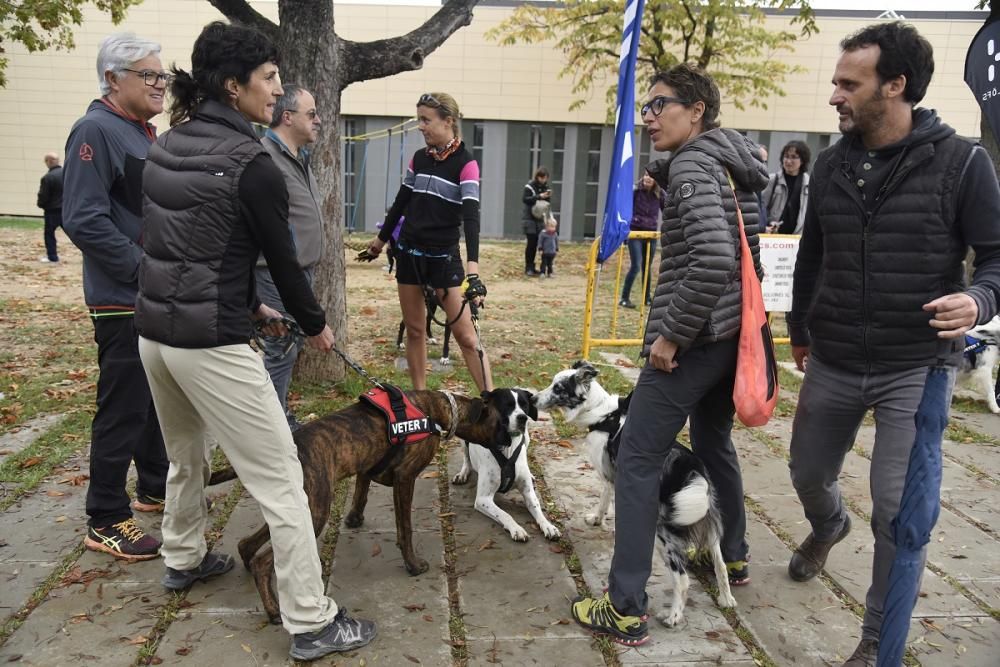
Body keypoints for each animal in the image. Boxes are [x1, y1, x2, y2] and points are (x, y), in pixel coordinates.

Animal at [208, 388, 500, 624]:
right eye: (499, 424)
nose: (506, 445)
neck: (436, 409)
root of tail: (293, 446)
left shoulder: (367, 466)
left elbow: (361, 494)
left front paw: (354, 519)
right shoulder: (405, 479)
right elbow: (405, 529)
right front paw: (413, 565)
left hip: (299, 503)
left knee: (250, 543)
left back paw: (249, 563)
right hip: (316, 511)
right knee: (263, 561)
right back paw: (272, 609)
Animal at [454, 392, 564, 544]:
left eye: (525, 405)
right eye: (507, 405)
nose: (523, 418)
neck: (508, 445)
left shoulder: (528, 492)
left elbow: (537, 508)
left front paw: (548, 526)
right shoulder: (483, 499)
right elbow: (505, 514)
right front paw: (517, 529)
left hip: (527, 438)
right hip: (463, 437)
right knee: (466, 458)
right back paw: (462, 473)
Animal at [536, 360, 740, 628]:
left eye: (558, 388)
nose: (533, 398)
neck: (603, 415)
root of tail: (692, 468)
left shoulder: (611, 475)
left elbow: (604, 500)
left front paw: (597, 520)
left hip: (664, 533)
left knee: (682, 579)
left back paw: (673, 616)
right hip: (708, 523)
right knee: (721, 563)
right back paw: (726, 599)